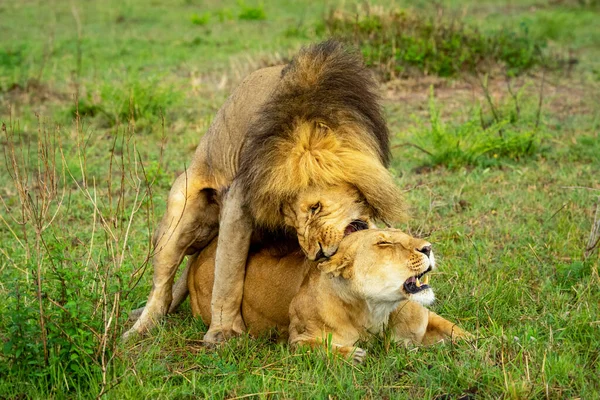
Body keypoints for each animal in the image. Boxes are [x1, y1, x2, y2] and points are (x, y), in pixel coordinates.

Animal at [122, 40, 406, 342]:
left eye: (315, 207)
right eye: (293, 222)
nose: (316, 254)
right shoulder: (239, 198)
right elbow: (228, 272)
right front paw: (223, 331)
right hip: (180, 212)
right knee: (162, 286)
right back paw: (141, 327)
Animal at [190, 228, 472, 362]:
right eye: (384, 243)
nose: (428, 248)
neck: (375, 311)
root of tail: (202, 252)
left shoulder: (424, 317)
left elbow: (453, 329)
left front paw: (476, 344)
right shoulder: (298, 341)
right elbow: (319, 348)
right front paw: (353, 355)